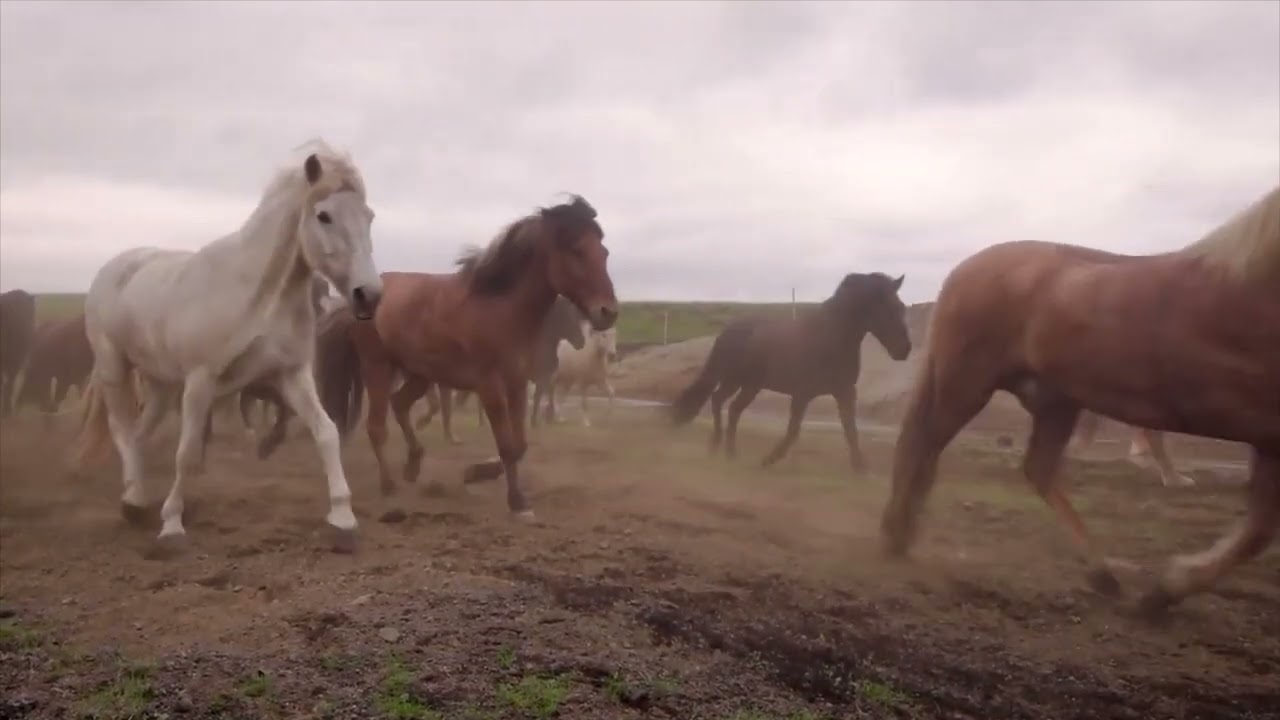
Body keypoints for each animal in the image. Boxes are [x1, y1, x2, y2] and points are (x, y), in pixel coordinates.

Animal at [70, 140, 384, 556]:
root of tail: (115, 266)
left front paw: (343, 520)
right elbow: (187, 452)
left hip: (161, 384)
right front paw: (172, 526)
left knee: (138, 434)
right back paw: (135, 503)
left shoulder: (292, 376)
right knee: (122, 429)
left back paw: (135, 499)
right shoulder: (200, 381)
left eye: (369, 216)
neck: (258, 296)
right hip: (113, 368)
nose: (369, 295)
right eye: (324, 215)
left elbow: (327, 433)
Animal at [320, 195, 617, 520]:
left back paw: (413, 465)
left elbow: (520, 444)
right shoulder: (490, 386)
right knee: (376, 427)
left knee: (399, 405)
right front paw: (516, 501)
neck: (500, 307)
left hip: (420, 374)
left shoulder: (517, 383)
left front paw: (477, 473)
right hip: (378, 368)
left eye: (604, 252)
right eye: (576, 250)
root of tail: (357, 299)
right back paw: (389, 485)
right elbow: (507, 444)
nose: (609, 312)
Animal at [669, 273, 912, 475]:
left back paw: (727, 452)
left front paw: (860, 468)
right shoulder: (802, 394)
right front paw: (768, 459)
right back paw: (719, 447)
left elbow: (850, 429)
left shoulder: (845, 391)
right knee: (720, 402)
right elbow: (793, 431)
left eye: (901, 307)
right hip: (736, 380)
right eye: (889, 309)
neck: (829, 338)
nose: (905, 350)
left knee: (730, 407)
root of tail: (728, 330)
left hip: (748, 384)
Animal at [880, 183, 1280, 618]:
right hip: (968, 385)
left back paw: (1103, 574)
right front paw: (1165, 591)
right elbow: (1259, 530)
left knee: (1035, 469)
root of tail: (962, 270)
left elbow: (1259, 529)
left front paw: (1165, 589)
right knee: (923, 444)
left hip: (1056, 402)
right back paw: (897, 535)